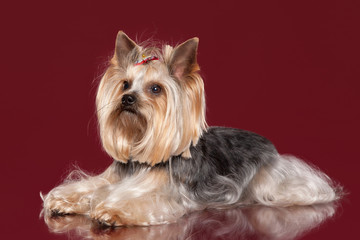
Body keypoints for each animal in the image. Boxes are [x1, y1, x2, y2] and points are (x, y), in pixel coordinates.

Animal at [40, 31, 342, 227]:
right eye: (125, 84)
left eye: (155, 89)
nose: (127, 99)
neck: (141, 149)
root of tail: (266, 142)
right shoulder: (112, 177)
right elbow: (91, 186)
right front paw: (63, 200)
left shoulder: (165, 195)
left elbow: (129, 200)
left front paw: (109, 210)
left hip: (273, 180)